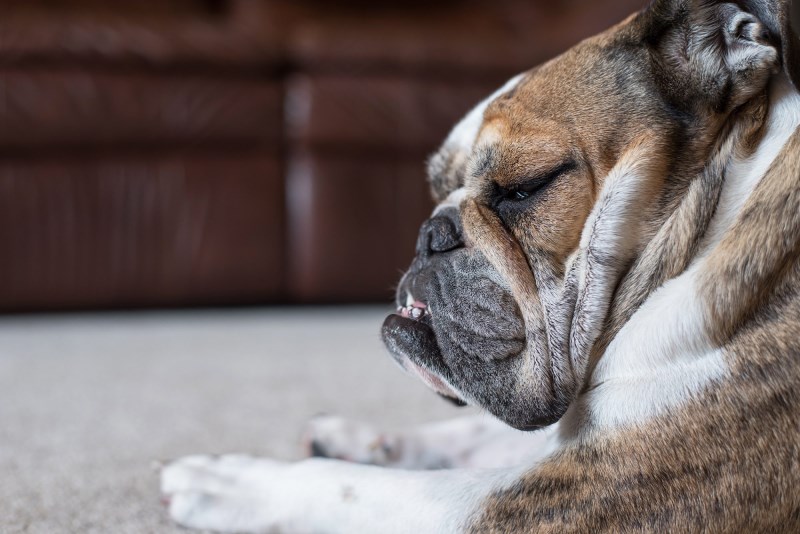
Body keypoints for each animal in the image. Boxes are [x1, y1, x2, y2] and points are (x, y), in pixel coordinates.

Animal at [161, 0, 800, 532]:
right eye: (437, 184)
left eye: (526, 187)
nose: (430, 233)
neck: (720, 204)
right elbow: (477, 430)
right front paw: (361, 437)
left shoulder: (590, 491)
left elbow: (365, 489)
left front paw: (235, 479)